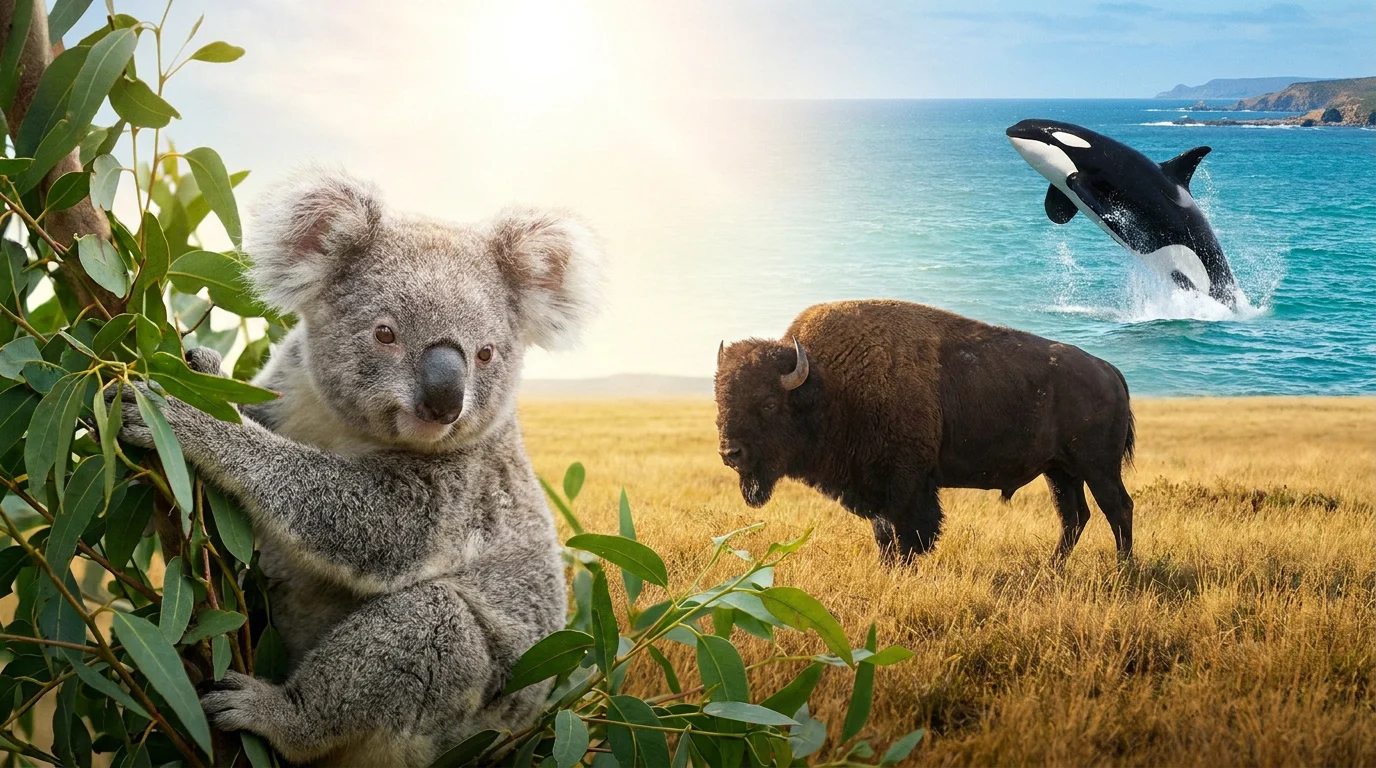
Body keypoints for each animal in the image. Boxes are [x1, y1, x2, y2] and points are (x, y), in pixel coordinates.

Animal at [714, 300, 1135, 562]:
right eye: (720, 399)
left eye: (769, 403)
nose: (730, 454)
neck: (827, 383)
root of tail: (1109, 371)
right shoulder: (877, 490)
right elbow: (884, 536)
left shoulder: (906, 487)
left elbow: (908, 536)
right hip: (1059, 471)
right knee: (1074, 517)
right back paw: (1053, 568)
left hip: (1098, 467)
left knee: (1117, 509)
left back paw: (1122, 572)